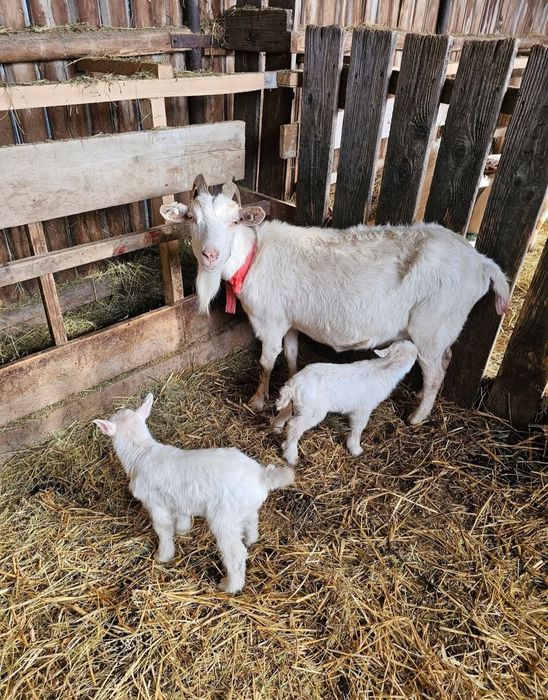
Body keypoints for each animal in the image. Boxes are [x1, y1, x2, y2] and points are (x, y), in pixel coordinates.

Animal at [93, 393, 294, 594]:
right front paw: (183, 530)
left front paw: (163, 555)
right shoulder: (178, 499)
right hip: (244, 509)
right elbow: (182, 516)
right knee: (252, 521)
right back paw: (250, 539)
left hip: (225, 518)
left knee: (235, 555)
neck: (141, 451)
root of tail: (261, 476)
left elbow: (163, 529)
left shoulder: (156, 504)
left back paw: (229, 585)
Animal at [160, 175, 510, 426]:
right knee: (444, 361)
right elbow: (291, 354)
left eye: (234, 221)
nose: (210, 255)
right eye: (192, 218)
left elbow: (266, 362)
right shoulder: (290, 321)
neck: (254, 255)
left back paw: (418, 416)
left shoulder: (269, 321)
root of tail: (481, 262)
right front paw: (290, 380)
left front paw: (257, 400)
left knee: (436, 370)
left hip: (432, 327)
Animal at [272, 340, 418, 465]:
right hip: (313, 411)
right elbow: (359, 427)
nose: (417, 349)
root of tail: (292, 386)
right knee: (294, 426)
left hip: (298, 405)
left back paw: (284, 443)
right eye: (413, 353)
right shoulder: (363, 408)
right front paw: (355, 448)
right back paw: (291, 457)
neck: (385, 369)